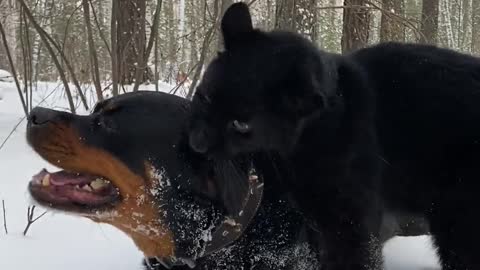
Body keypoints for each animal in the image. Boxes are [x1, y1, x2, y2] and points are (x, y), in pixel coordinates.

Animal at [189, 2, 480, 270]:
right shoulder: (317, 219)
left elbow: (353, 260)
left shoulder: (349, 221)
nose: (197, 143)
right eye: (204, 97)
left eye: (241, 124)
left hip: (459, 225)